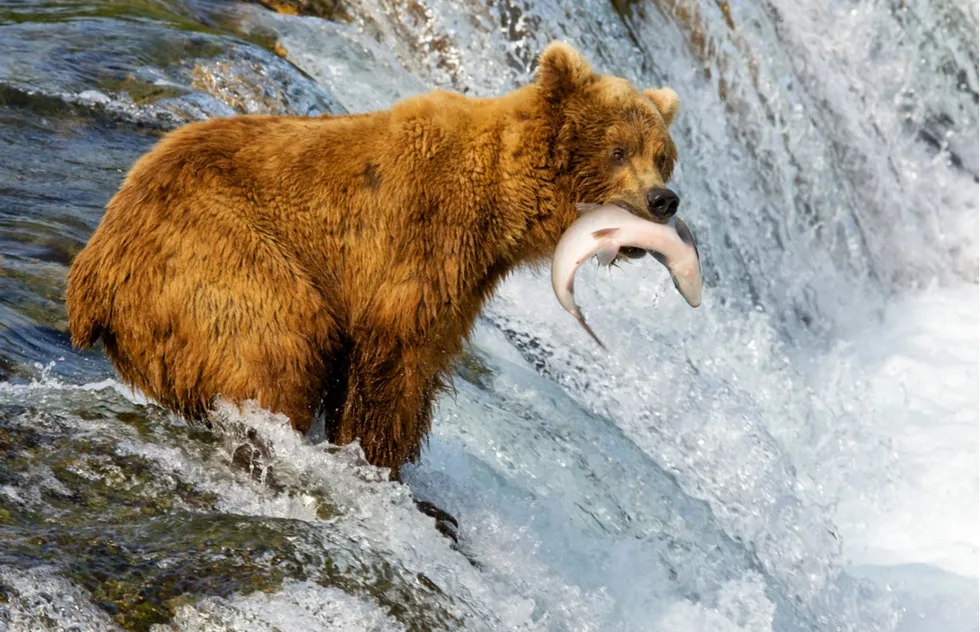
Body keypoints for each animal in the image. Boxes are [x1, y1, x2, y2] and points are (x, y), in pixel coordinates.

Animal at [65, 41, 682, 480]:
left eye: (662, 157)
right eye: (618, 150)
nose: (664, 200)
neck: (501, 203)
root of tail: (90, 274)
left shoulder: (464, 281)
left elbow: (424, 363)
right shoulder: (420, 238)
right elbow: (392, 359)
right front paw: (373, 458)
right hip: (215, 251)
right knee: (280, 340)